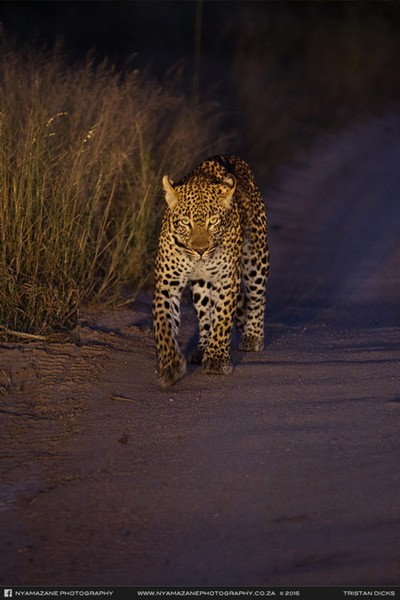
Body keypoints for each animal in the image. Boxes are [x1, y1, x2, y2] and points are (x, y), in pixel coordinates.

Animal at [152, 155, 270, 390]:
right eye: (185, 222)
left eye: (213, 221)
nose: (200, 250)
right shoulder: (167, 283)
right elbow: (164, 324)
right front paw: (170, 365)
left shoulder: (228, 279)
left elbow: (223, 319)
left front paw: (216, 360)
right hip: (201, 284)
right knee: (206, 314)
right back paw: (201, 348)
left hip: (256, 257)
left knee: (256, 297)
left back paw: (253, 336)